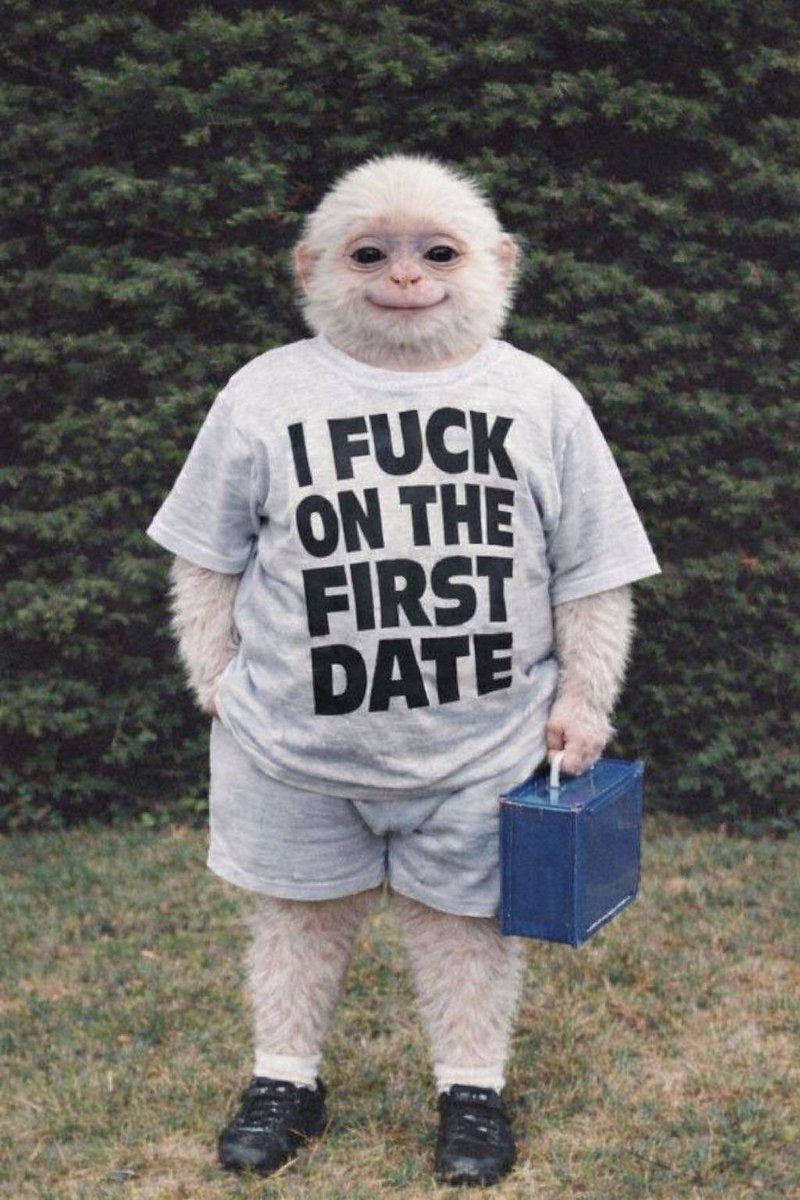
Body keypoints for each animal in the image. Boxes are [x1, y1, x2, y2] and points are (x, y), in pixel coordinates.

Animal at [147, 155, 659, 1186]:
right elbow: (209, 561)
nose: (411, 278)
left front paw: (580, 730)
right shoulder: (229, 427)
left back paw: (470, 1112)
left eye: (441, 250)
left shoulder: (574, 432)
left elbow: (590, 581)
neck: (401, 372)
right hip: (287, 813)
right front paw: (273, 1104)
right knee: (303, 920)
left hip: (472, 823)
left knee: (458, 936)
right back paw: (277, 1098)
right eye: (370, 252)